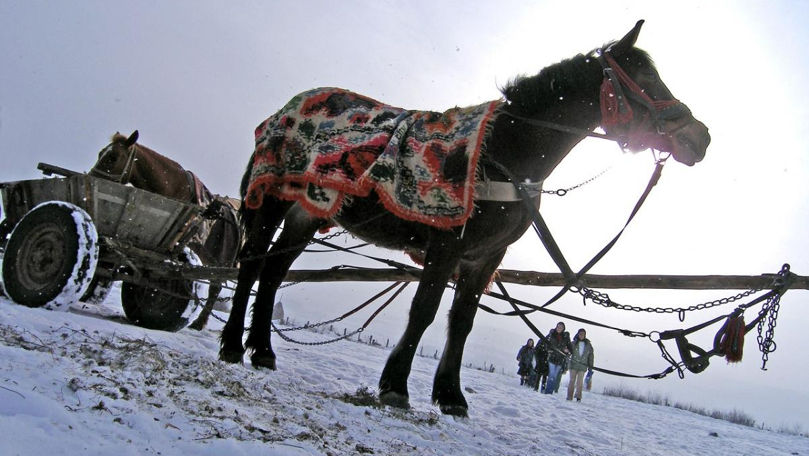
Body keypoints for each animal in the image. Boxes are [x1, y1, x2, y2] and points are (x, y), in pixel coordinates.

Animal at [89, 130, 240, 330]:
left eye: (113, 157)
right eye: (100, 153)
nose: (90, 177)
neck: (178, 190)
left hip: (220, 259)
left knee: (216, 287)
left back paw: (199, 324)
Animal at [219, 21, 708, 416]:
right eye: (645, 78)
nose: (699, 137)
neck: (503, 152)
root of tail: (288, 109)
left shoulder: (485, 257)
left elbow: (462, 323)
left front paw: (450, 396)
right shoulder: (446, 244)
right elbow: (424, 310)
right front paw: (395, 386)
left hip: (308, 212)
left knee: (274, 272)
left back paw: (262, 350)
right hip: (272, 202)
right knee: (252, 266)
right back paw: (232, 346)